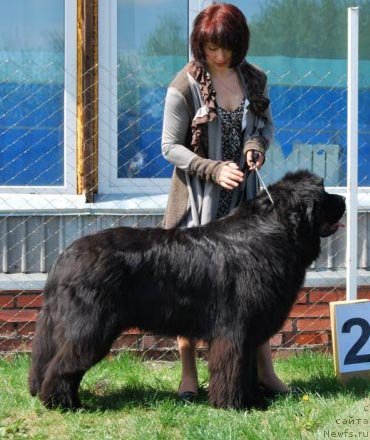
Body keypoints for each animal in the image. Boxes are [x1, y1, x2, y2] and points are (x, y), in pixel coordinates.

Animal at [29, 171, 346, 410]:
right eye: (323, 192)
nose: (343, 198)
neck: (271, 233)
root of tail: (66, 255)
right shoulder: (235, 328)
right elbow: (233, 365)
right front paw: (234, 404)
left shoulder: (248, 329)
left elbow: (246, 367)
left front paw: (252, 399)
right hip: (91, 325)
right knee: (65, 362)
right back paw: (62, 403)